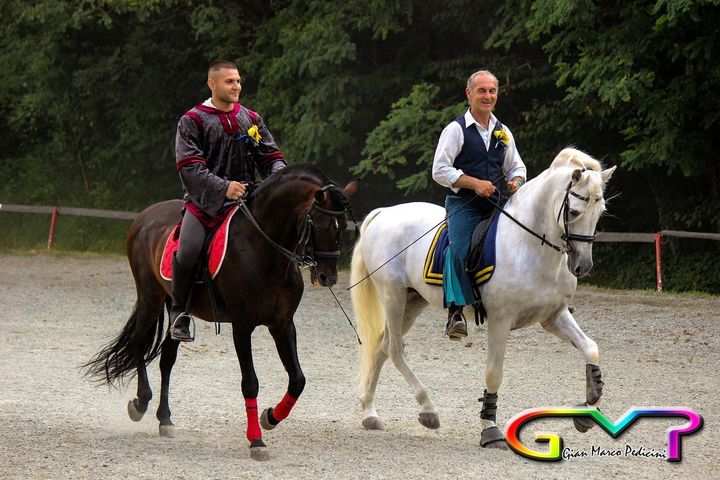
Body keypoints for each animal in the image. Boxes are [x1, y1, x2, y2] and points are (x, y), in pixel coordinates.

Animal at [84, 164, 358, 460]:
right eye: (319, 225)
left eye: (343, 226)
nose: (327, 277)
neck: (264, 249)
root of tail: (144, 217)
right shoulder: (242, 325)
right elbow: (250, 382)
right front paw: (256, 440)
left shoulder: (283, 325)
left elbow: (298, 380)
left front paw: (270, 417)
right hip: (151, 298)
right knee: (137, 342)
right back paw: (140, 403)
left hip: (175, 308)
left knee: (167, 358)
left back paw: (165, 419)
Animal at [350, 148, 616, 448]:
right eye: (573, 211)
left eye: (601, 212)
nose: (582, 266)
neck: (529, 245)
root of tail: (384, 213)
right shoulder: (501, 320)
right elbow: (494, 373)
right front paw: (490, 429)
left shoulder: (554, 316)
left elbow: (591, 348)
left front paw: (589, 408)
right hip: (392, 296)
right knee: (394, 348)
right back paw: (428, 410)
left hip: (412, 302)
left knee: (382, 347)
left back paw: (370, 414)